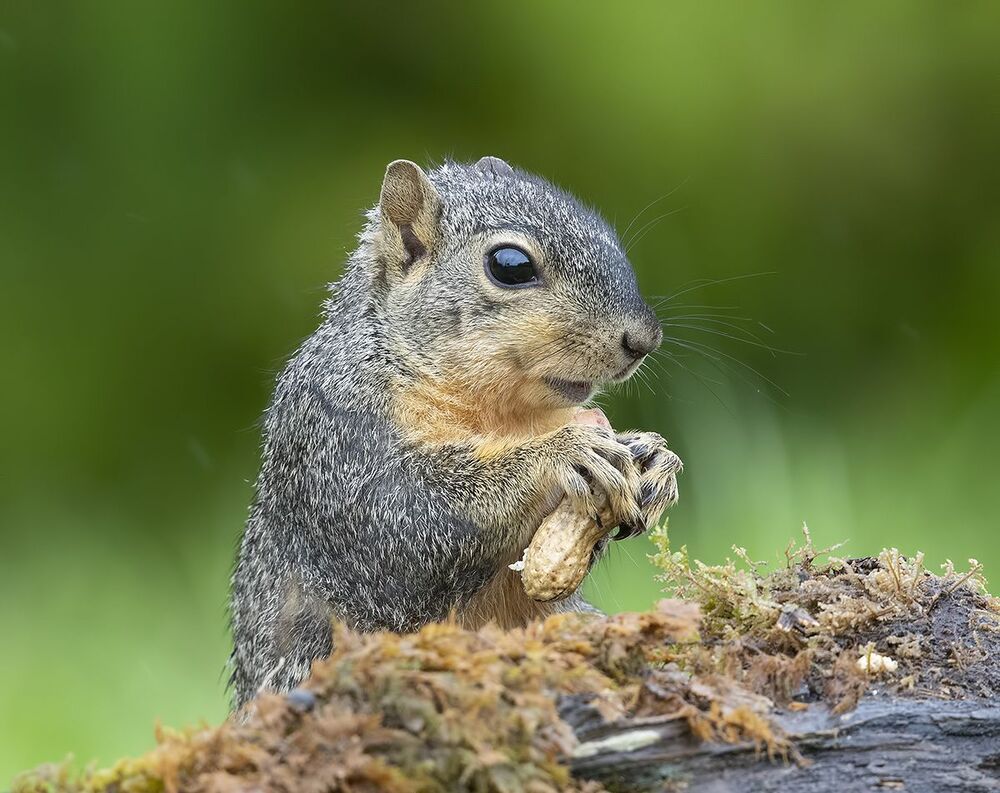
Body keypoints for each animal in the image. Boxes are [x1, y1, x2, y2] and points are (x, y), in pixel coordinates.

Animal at [229, 156, 681, 708]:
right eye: (510, 266)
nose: (644, 339)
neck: (500, 415)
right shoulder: (333, 437)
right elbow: (407, 522)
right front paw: (562, 452)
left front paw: (656, 458)